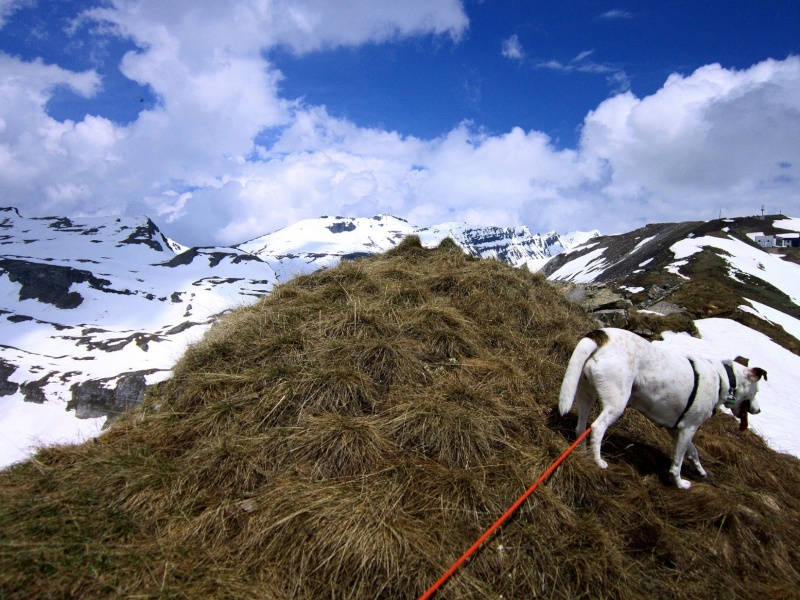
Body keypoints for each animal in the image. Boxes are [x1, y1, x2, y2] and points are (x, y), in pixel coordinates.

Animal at [560, 328, 764, 488]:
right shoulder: (688, 429)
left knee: (581, 427)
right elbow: (678, 462)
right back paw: (598, 460)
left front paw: (700, 470)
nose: (758, 410)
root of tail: (601, 335)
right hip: (616, 404)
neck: (724, 379)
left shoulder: (675, 429)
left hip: (585, 394)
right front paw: (680, 483)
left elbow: (693, 451)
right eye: (757, 390)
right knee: (597, 427)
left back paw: (582, 452)